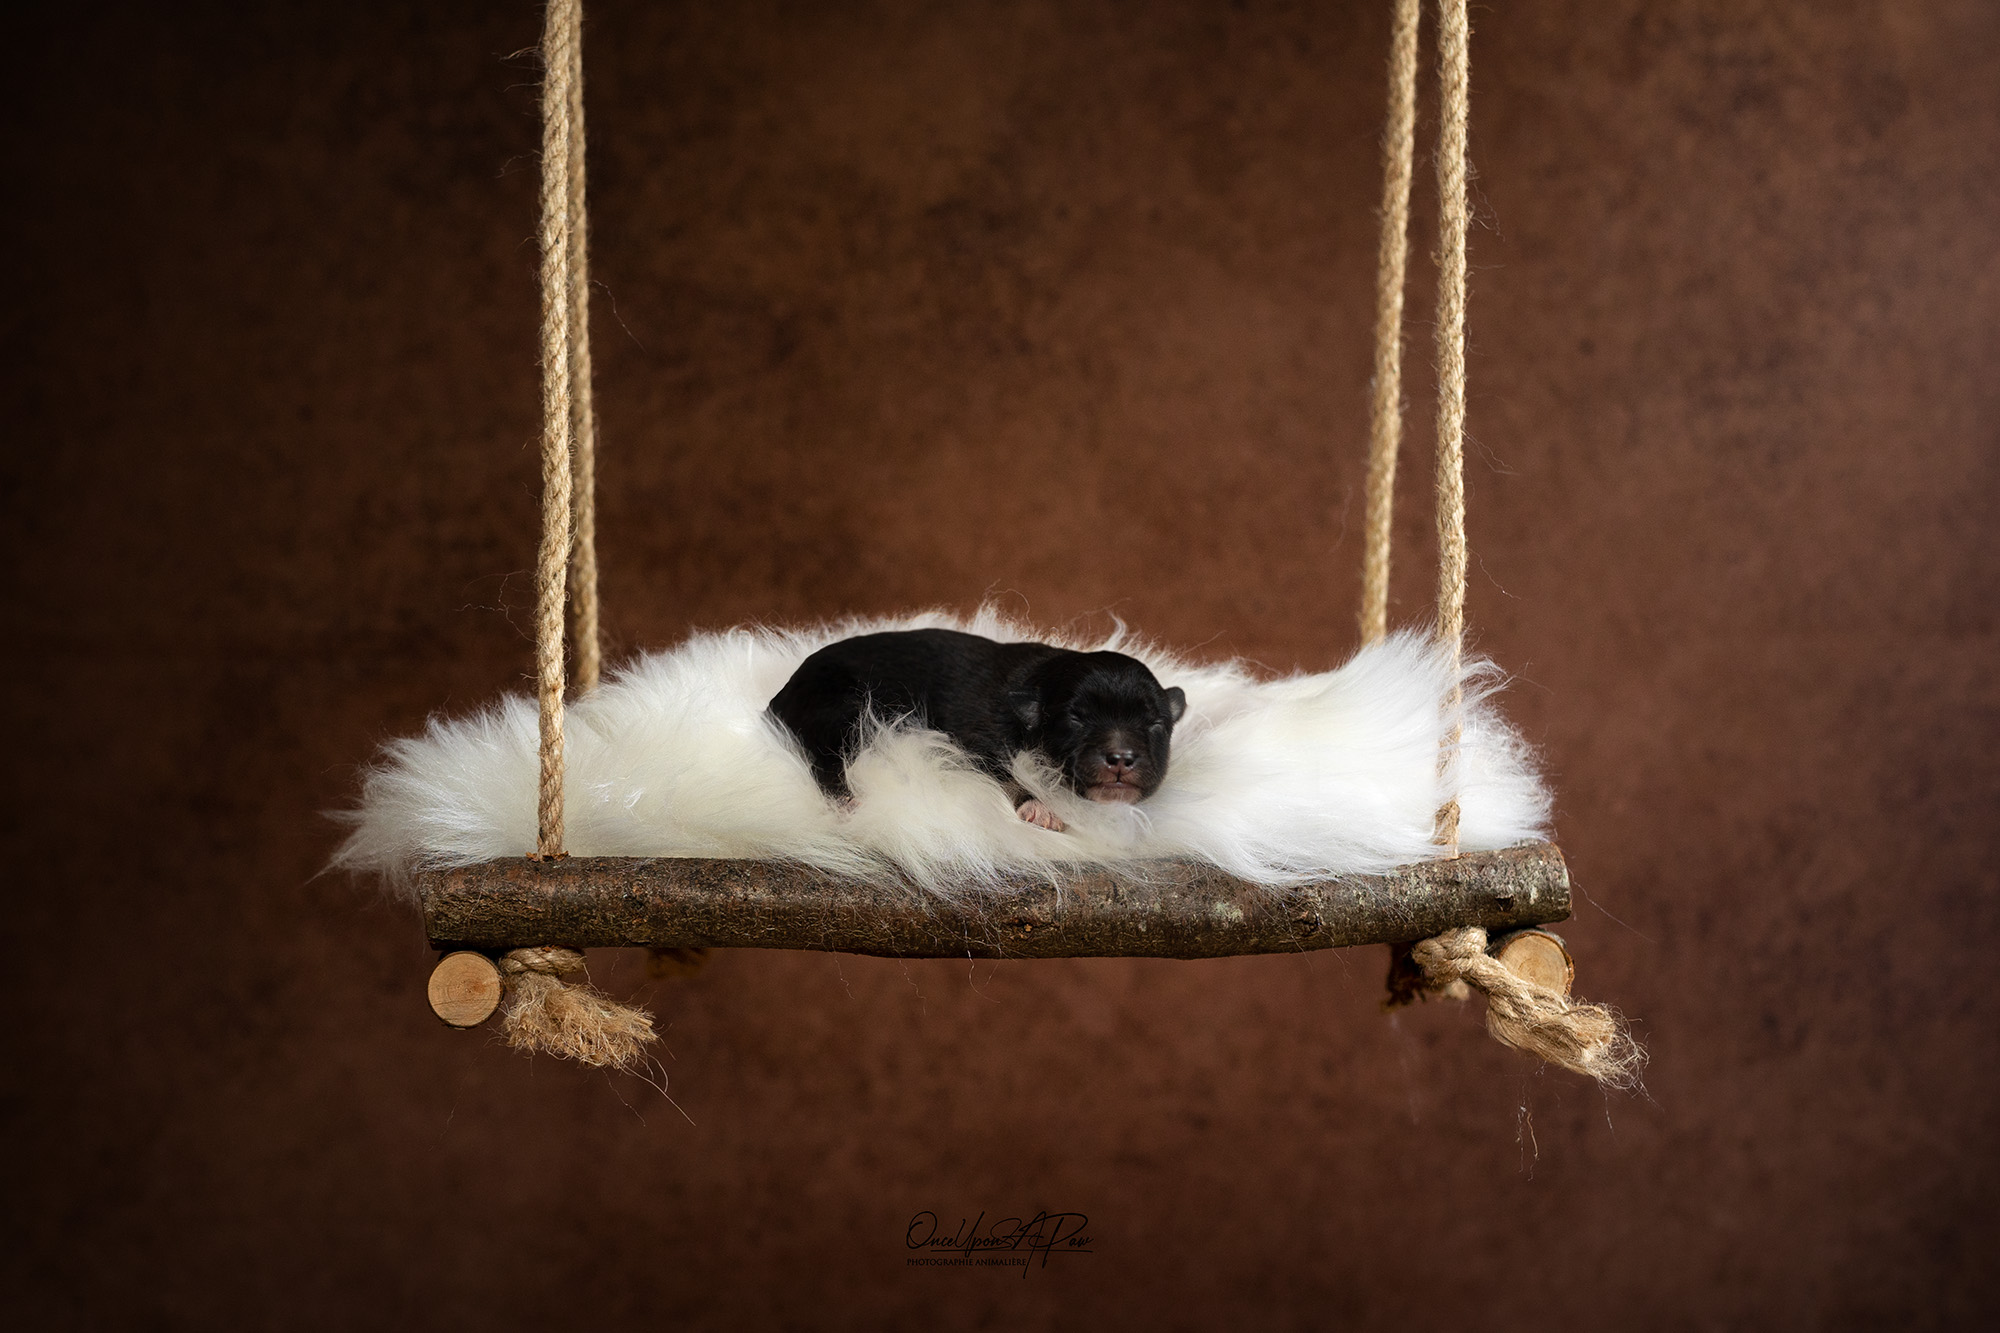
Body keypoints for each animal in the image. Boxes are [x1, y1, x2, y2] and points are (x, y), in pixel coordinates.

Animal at [767, 628, 1187, 832]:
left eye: (1155, 724)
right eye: (1076, 719)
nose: (1121, 758)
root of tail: (783, 690)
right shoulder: (978, 743)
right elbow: (1011, 776)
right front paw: (1041, 806)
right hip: (838, 710)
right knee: (823, 759)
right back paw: (846, 800)